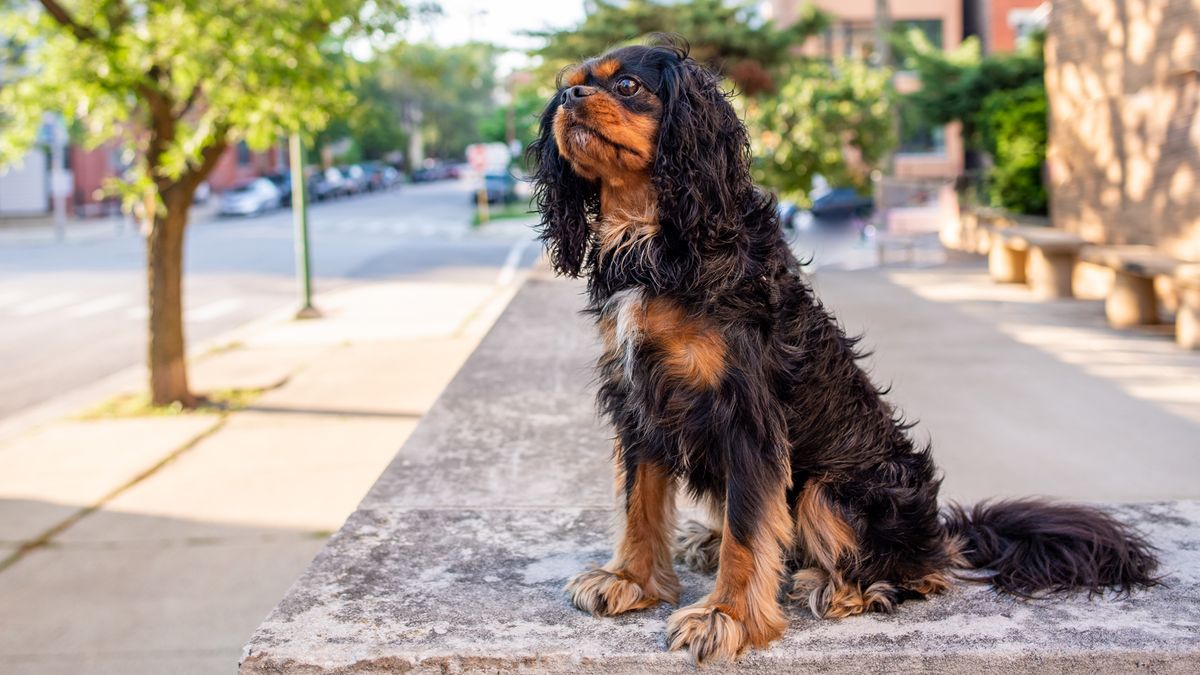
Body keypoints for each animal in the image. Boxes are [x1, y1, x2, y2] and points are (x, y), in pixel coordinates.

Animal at [528, 38, 1161, 662]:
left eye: (626, 85)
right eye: (571, 85)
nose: (570, 99)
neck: (654, 236)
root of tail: (941, 530)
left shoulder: (746, 414)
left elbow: (748, 529)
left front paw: (726, 617)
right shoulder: (638, 399)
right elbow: (640, 503)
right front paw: (631, 582)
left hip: (833, 488)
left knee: (914, 571)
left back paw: (841, 586)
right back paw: (717, 542)